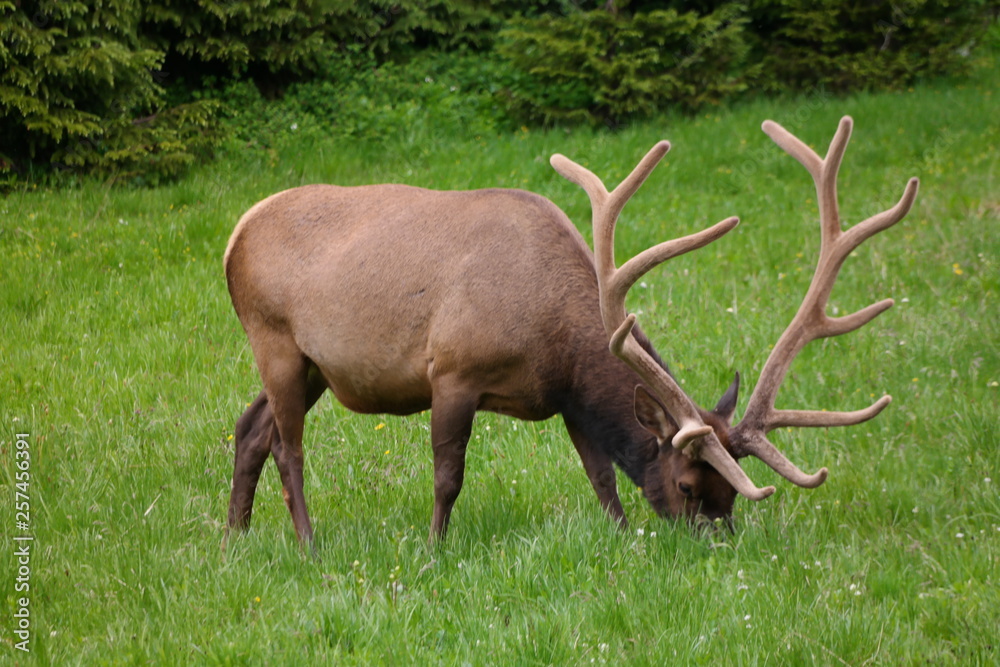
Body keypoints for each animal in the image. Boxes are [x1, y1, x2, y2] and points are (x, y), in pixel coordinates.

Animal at [223, 116, 916, 544]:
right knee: (288, 446)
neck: (554, 341)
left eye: (729, 494)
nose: (719, 543)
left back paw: (235, 536)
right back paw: (308, 544)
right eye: (689, 484)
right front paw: (433, 547)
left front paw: (623, 537)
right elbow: (448, 475)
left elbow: (601, 475)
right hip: (273, 338)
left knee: (250, 426)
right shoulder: (452, 371)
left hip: (313, 364)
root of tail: (233, 238)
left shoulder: (567, 399)